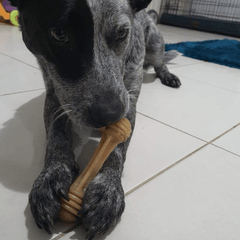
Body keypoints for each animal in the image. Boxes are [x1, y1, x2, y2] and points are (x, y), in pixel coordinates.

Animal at [9, 0, 180, 238]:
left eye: (122, 33)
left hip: (155, 44)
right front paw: (53, 174)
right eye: (59, 34)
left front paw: (107, 188)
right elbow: (56, 135)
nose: (109, 114)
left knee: (160, 61)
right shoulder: (55, 93)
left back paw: (167, 75)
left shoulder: (128, 99)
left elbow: (117, 148)